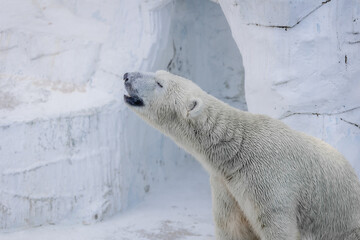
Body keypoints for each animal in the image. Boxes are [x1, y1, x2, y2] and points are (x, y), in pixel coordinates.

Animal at [123, 70, 360, 239]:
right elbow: (232, 227)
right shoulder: (226, 186)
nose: (126, 76)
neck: (236, 150)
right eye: (157, 72)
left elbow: (276, 225)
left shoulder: (269, 180)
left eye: (160, 83)